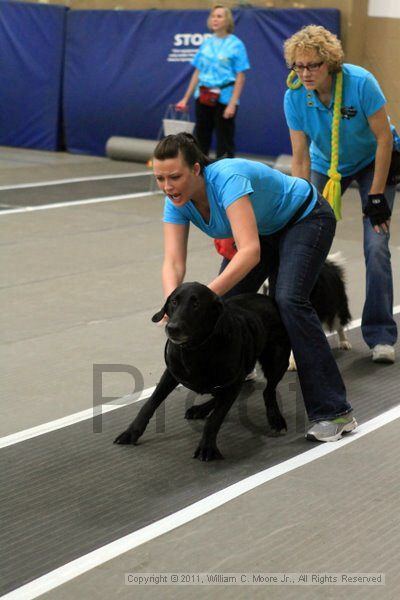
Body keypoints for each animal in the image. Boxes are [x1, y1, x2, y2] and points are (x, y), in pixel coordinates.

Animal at [114, 282, 290, 460]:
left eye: (196, 304)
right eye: (174, 302)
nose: (172, 328)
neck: (196, 349)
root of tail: (269, 299)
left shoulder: (234, 382)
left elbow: (215, 418)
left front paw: (207, 447)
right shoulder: (170, 374)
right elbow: (150, 404)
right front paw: (131, 432)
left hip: (277, 361)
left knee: (268, 391)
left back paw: (275, 418)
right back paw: (199, 410)